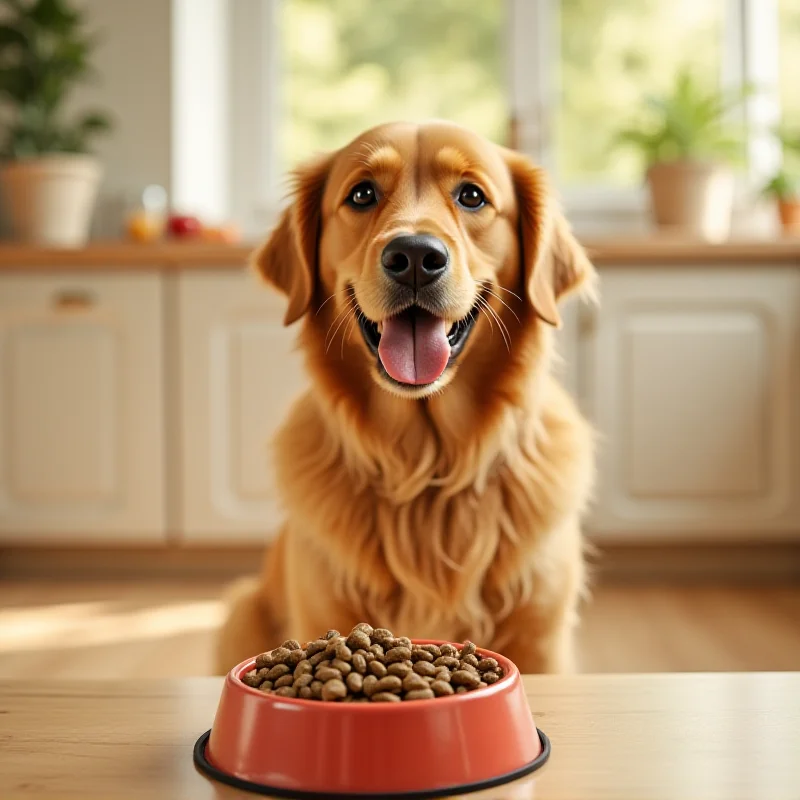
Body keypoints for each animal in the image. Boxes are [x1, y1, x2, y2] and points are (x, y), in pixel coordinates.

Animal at [212, 120, 592, 676]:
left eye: (472, 196)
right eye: (362, 194)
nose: (414, 257)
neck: (426, 467)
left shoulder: (542, 640)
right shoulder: (320, 610)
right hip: (241, 610)